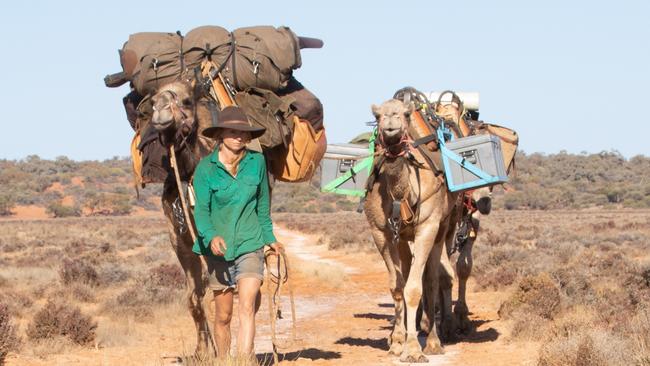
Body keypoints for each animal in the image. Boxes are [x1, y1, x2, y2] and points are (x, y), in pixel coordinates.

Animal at [362, 98, 458, 364]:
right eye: (377, 116)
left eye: (405, 114)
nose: (390, 123)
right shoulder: (380, 231)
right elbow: (397, 286)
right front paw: (397, 343)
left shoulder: (427, 226)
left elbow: (414, 288)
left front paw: (414, 350)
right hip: (404, 237)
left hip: (441, 228)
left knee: (433, 279)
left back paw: (434, 341)